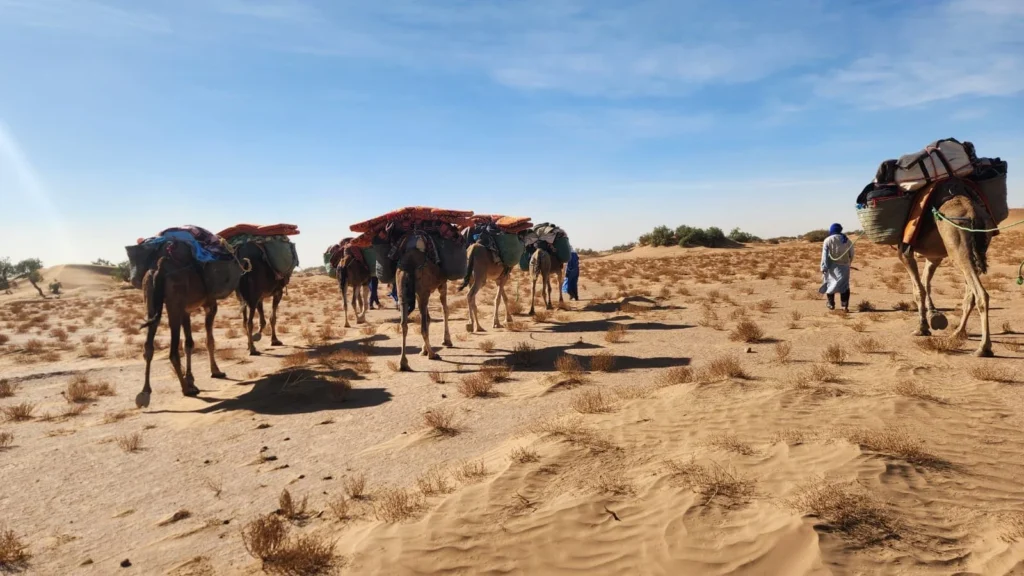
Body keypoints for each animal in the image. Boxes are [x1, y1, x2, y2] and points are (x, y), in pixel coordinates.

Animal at [136, 241, 238, 408]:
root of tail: (159, 268)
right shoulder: (210, 304)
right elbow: (209, 340)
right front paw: (216, 371)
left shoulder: (186, 311)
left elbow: (189, 343)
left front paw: (191, 379)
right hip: (174, 303)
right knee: (172, 351)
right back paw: (186, 390)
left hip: (150, 301)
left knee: (148, 346)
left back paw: (145, 392)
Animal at [898, 180, 994, 357]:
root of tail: (972, 211)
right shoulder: (934, 257)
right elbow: (925, 282)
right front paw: (933, 315)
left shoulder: (904, 252)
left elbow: (918, 290)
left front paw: (921, 328)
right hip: (979, 246)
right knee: (969, 295)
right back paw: (958, 333)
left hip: (957, 245)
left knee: (981, 294)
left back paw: (983, 347)